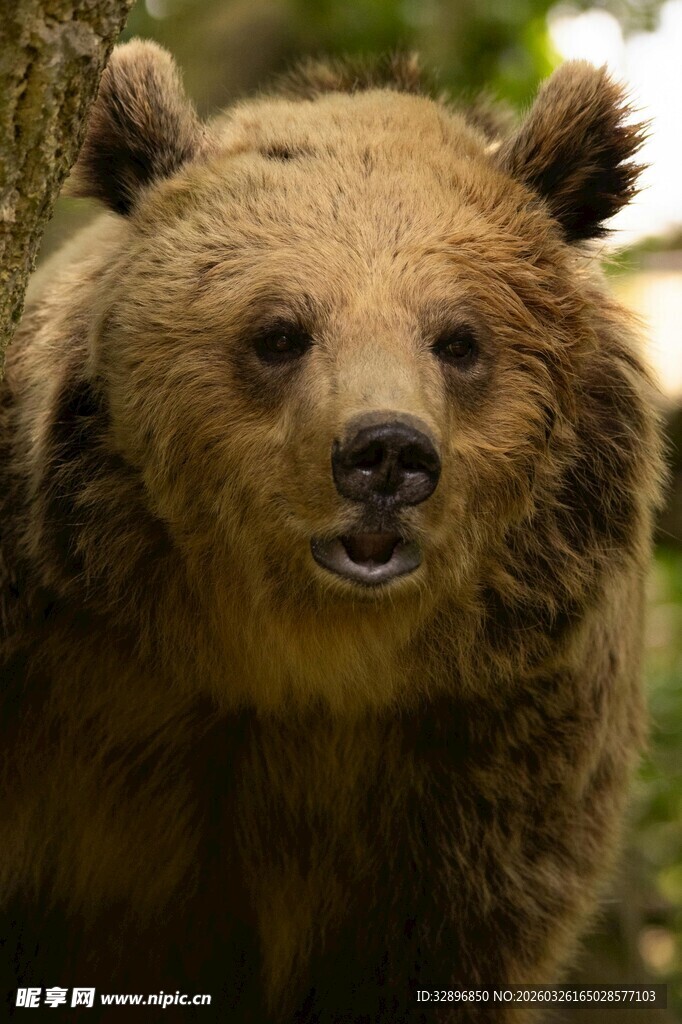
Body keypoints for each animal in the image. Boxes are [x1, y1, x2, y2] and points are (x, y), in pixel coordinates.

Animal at [0, 39, 665, 1023]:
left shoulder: (491, 762)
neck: (298, 661)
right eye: (280, 332)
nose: (386, 453)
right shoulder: (69, 688)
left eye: (458, 340)